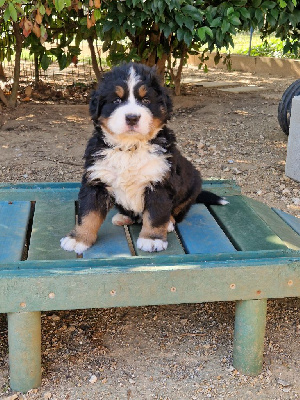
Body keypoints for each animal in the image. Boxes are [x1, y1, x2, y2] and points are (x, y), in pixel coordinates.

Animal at [60, 64, 225, 255]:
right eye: (116, 101)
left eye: (146, 100)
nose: (132, 117)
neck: (130, 148)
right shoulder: (96, 180)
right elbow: (88, 214)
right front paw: (78, 239)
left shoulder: (160, 183)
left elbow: (155, 215)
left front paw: (152, 239)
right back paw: (123, 217)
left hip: (192, 185)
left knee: (177, 211)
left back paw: (169, 223)